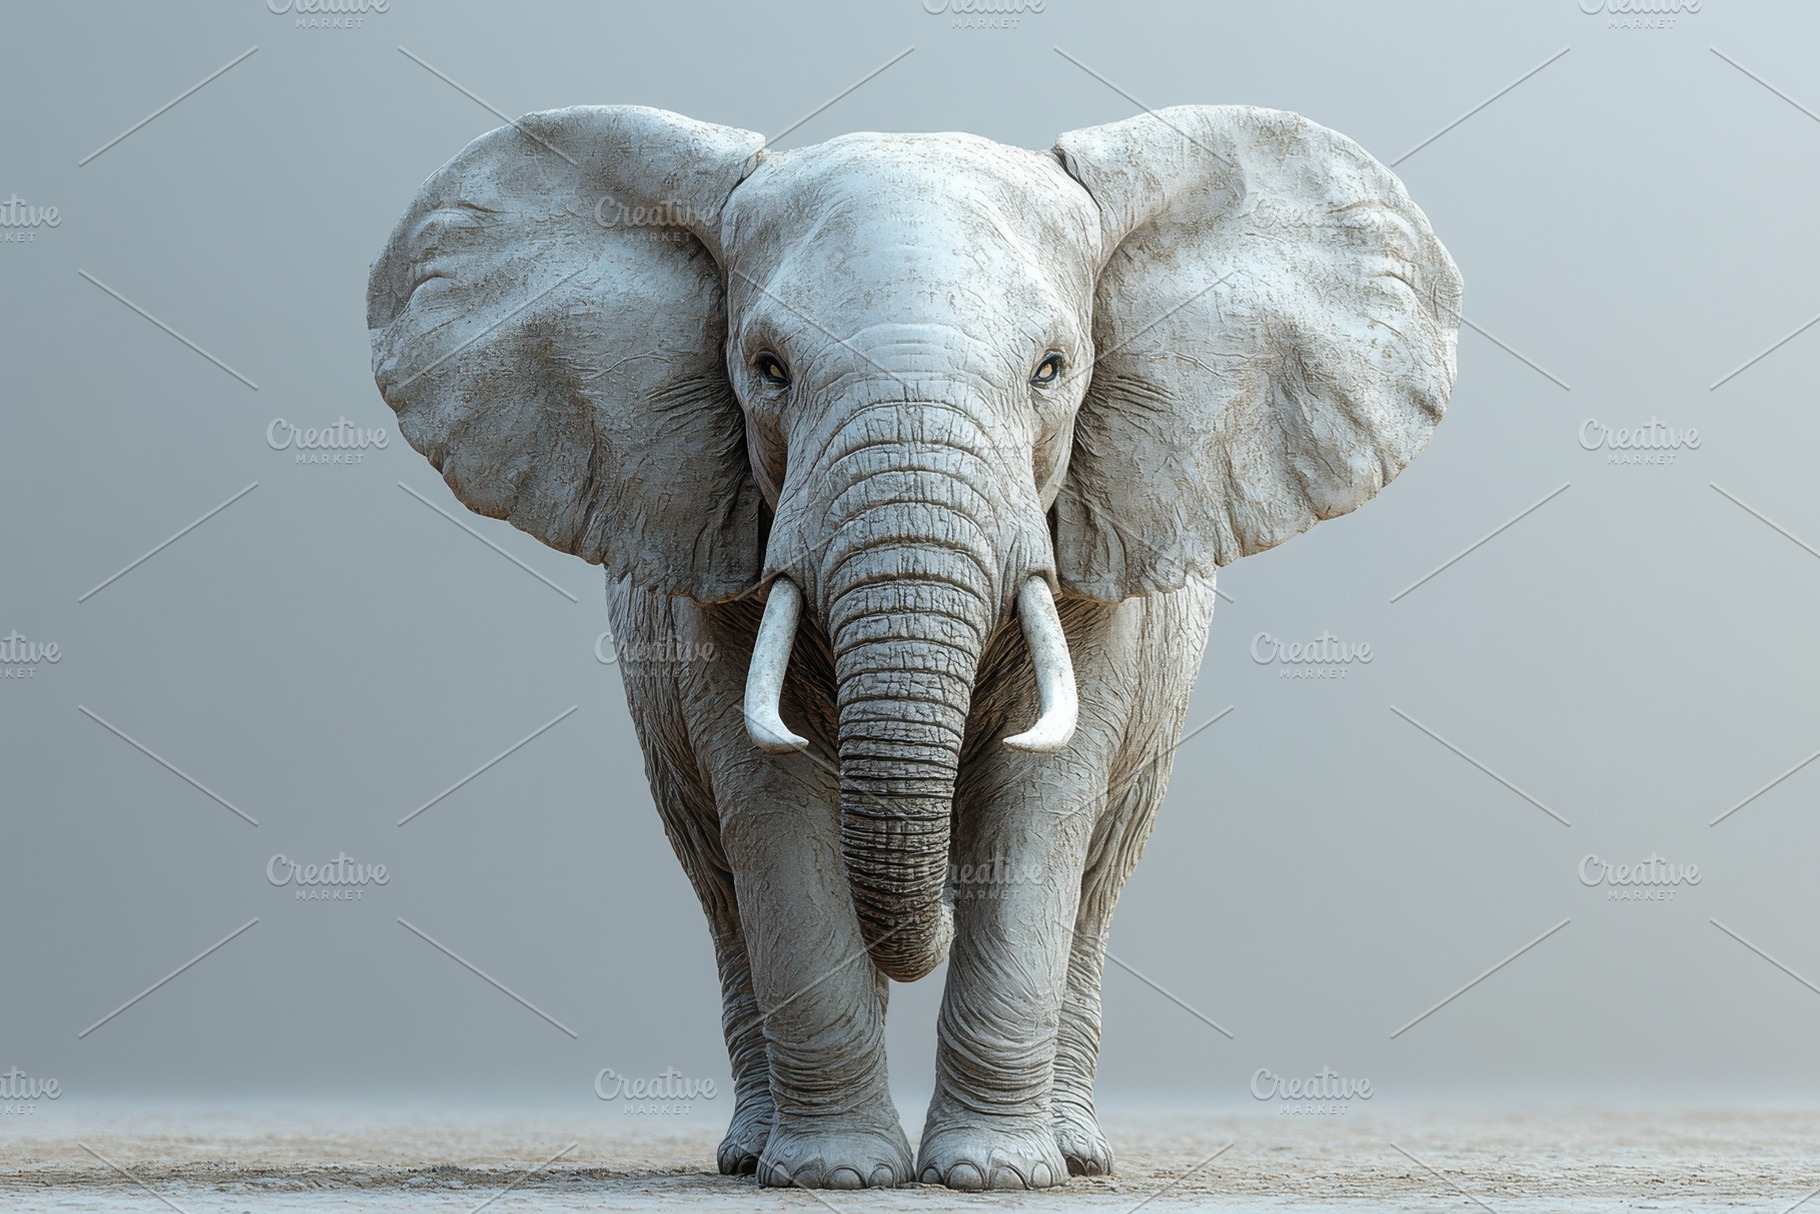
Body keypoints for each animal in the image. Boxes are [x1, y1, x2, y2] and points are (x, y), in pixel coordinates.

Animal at [367, 103, 1460, 1190]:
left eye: (1051, 370)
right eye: (768, 369)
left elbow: (1040, 804)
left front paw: (992, 1176)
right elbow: (773, 804)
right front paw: (836, 1176)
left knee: (1097, 878)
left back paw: (1075, 1153)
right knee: (719, 880)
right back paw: (750, 1153)